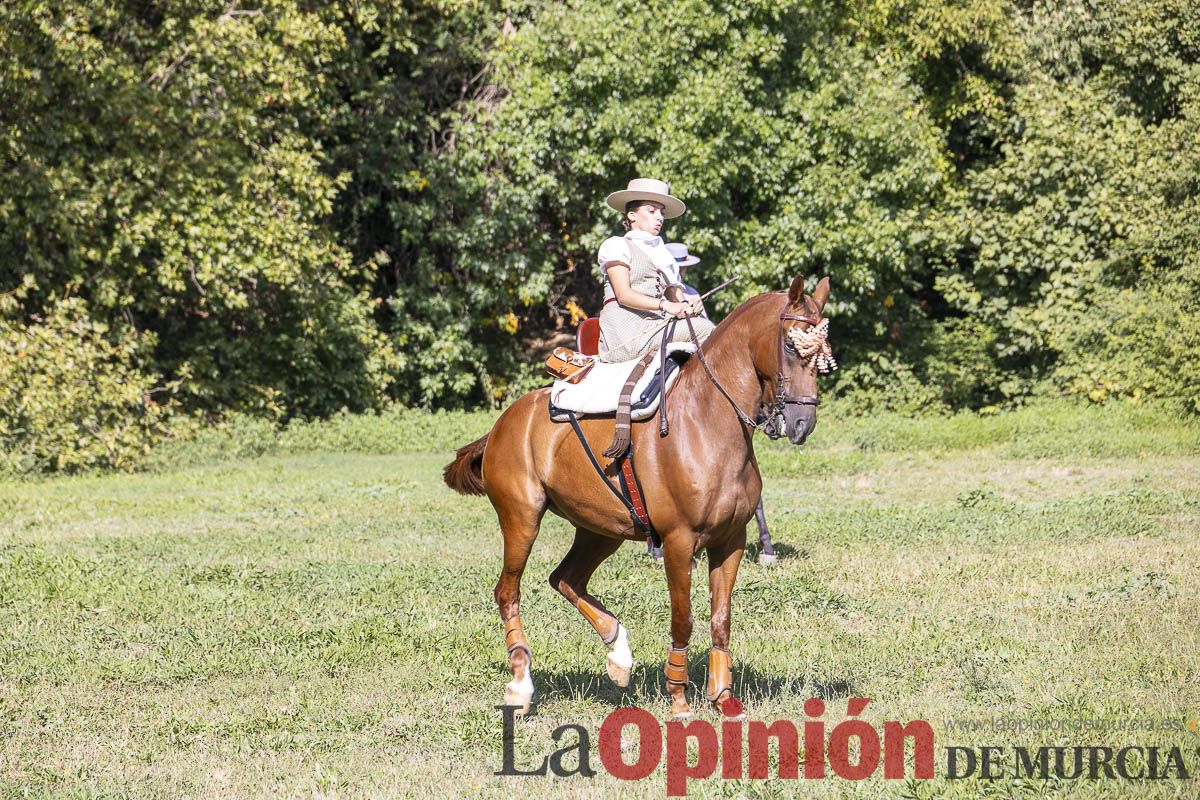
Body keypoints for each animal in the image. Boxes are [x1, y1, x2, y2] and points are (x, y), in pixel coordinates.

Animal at [443, 275, 833, 720]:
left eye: (823, 353)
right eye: (791, 345)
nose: (802, 423)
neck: (707, 421)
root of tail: (504, 422)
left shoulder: (731, 541)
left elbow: (721, 619)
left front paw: (723, 699)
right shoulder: (680, 542)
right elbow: (683, 620)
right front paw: (679, 701)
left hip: (600, 529)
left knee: (566, 579)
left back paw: (619, 656)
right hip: (522, 520)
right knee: (509, 592)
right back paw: (522, 686)